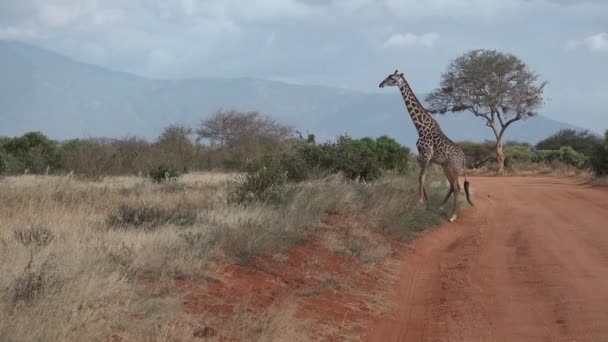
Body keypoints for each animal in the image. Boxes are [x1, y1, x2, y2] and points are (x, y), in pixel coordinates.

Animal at [378, 71, 472, 223]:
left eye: (392, 78)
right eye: (388, 76)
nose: (381, 84)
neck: (420, 127)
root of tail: (464, 158)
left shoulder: (426, 154)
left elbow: (421, 176)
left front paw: (420, 200)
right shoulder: (425, 156)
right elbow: (423, 176)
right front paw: (425, 200)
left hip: (453, 168)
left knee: (457, 188)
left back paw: (453, 216)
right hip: (446, 167)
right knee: (452, 187)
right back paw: (440, 207)